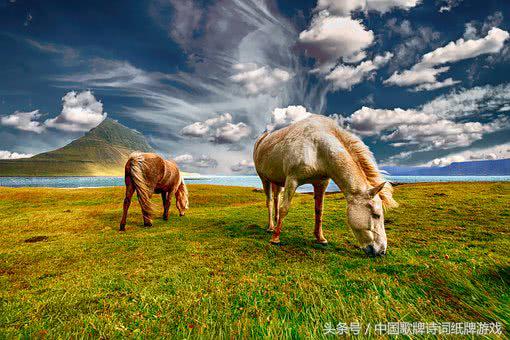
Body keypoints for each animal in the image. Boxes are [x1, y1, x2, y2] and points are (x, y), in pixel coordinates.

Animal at [253, 113, 396, 255]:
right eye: (376, 215)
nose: (382, 251)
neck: (317, 148)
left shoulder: (321, 183)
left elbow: (319, 211)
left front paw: (320, 238)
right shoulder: (292, 180)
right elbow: (284, 208)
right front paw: (275, 239)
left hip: (277, 181)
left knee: (276, 199)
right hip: (264, 179)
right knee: (270, 202)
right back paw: (271, 227)